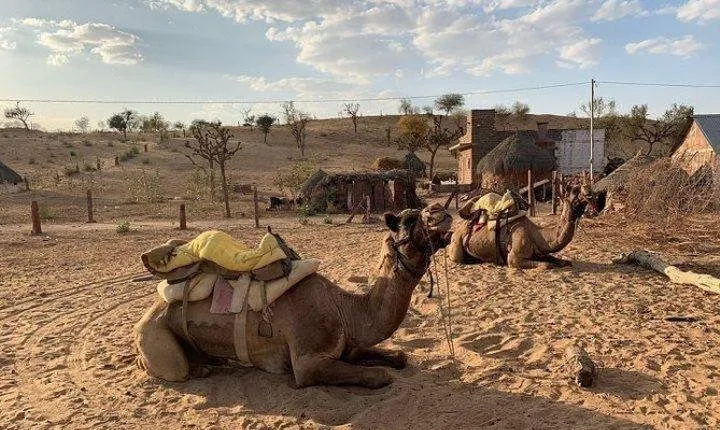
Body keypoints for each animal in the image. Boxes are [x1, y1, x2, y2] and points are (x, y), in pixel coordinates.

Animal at [134, 203, 453, 388]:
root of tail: (148, 313)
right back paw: (199, 369)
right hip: (156, 338)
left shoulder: (347, 344)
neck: (345, 309)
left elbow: (399, 356)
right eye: (410, 221)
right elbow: (380, 376)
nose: (442, 212)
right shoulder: (307, 362)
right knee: (172, 368)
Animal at [447, 185, 589, 269]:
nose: (589, 193)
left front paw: (564, 262)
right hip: (456, 243)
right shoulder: (514, 258)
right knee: (455, 257)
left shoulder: (538, 252)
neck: (536, 234)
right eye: (575, 195)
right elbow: (546, 265)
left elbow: (561, 261)